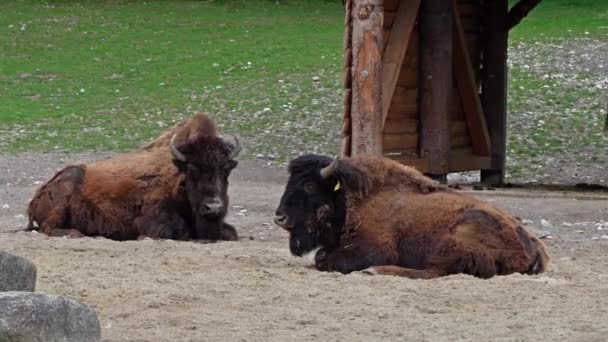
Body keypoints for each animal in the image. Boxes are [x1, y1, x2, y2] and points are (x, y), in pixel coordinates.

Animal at [26, 113, 240, 240]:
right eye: (192, 169)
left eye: (226, 169)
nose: (213, 207)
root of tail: (36, 198)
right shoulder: (152, 221)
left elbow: (232, 233)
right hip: (65, 193)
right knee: (48, 228)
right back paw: (80, 234)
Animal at [274, 154, 548, 278]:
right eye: (289, 181)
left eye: (309, 185)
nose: (279, 217)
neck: (349, 198)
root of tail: (532, 246)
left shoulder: (375, 248)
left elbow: (324, 259)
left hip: (454, 241)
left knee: (433, 272)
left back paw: (374, 271)